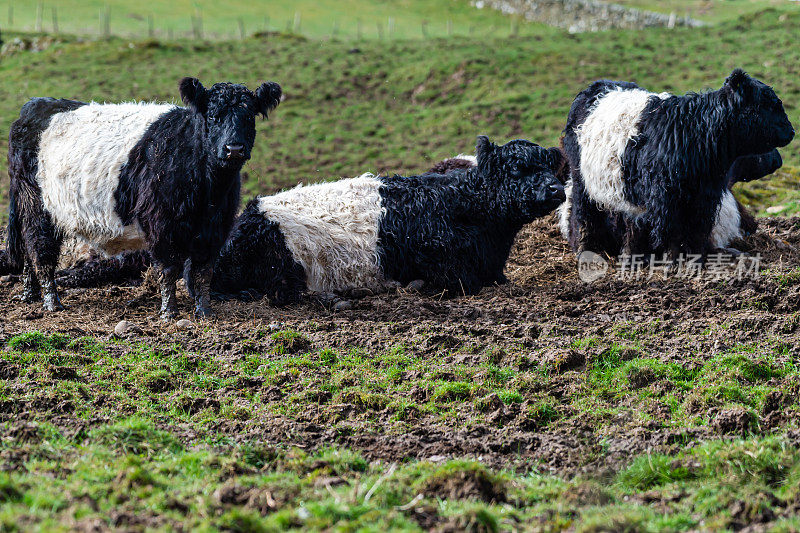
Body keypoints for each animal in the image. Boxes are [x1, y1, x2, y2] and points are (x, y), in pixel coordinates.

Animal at [4, 77, 282, 318]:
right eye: (213, 116)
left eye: (249, 117)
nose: (234, 148)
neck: (210, 189)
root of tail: (34, 105)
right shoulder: (163, 225)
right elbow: (169, 269)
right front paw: (169, 313)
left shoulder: (215, 227)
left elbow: (204, 271)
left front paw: (204, 311)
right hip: (37, 205)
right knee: (40, 249)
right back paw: (52, 302)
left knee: (27, 248)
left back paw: (29, 294)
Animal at [206, 136, 568, 304]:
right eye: (517, 168)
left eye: (550, 166)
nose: (556, 189)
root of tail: (249, 214)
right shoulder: (452, 271)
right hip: (281, 267)